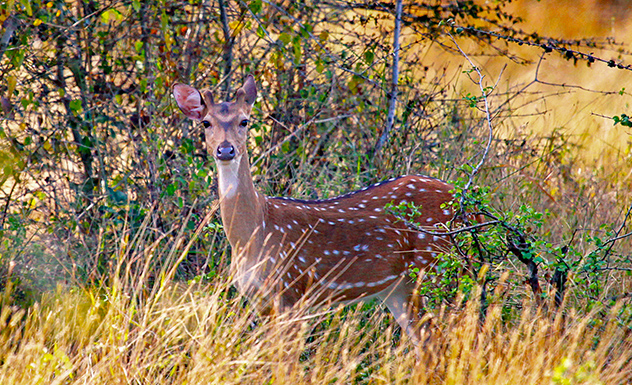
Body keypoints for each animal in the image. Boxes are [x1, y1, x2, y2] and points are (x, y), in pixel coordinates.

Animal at [173, 75, 456, 342]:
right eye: (206, 123)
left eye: (244, 121)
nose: (225, 149)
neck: (253, 232)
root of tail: (459, 195)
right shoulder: (260, 300)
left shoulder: (291, 290)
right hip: (398, 288)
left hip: (436, 266)